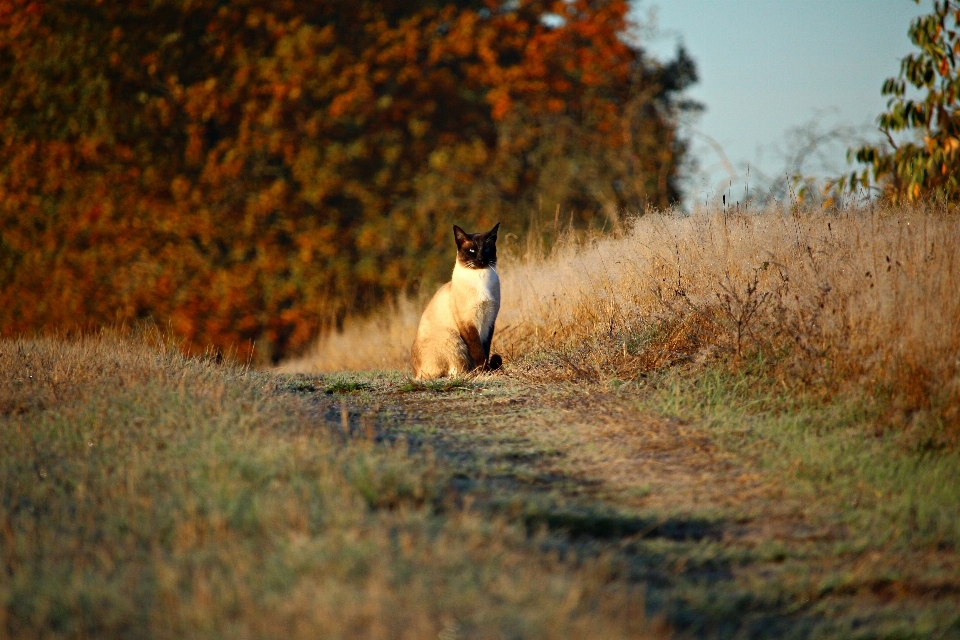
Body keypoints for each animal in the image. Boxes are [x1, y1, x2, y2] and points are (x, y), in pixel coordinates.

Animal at [410, 222, 502, 380]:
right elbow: (478, 351)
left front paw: (487, 370)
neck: (481, 278)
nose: (481, 260)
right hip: (453, 339)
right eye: (472, 250)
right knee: (455, 370)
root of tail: (416, 373)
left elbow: (485, 349)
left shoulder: (489, 321)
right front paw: (485, 371)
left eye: (486, 249)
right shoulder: (468, 323)